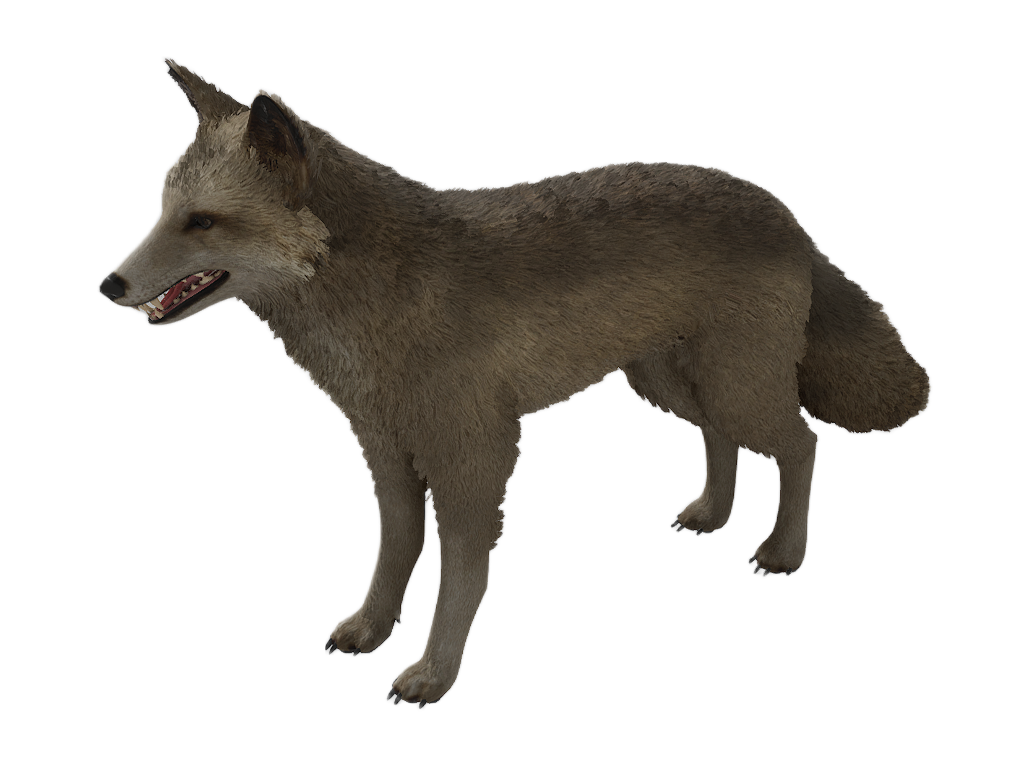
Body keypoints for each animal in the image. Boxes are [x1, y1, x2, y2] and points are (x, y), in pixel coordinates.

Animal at [98, 57, 932, 708]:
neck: (382, 305)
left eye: (203, 223)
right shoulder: (385, 451)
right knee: (723, 439)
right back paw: (711, 514)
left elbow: (461, 575)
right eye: (163, 209)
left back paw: (783, 550)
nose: (109, 286)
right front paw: (371, 629)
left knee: (802, 443)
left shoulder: (478, 454)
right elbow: (395, 551)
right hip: (666, 383)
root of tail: (784, 211)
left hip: (735, 384)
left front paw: (433, 674)